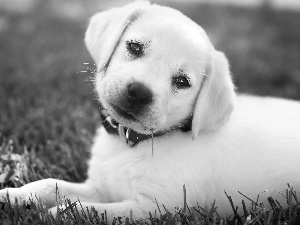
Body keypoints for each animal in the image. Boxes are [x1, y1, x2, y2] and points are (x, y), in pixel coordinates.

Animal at [0, 0, 300, 221]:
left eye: (182, 82)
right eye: (134, 47)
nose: (139, 92)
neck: (131, 143)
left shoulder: (156, 208)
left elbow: (96, 212)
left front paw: (58, 214)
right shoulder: (101, 187)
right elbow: (51, 184)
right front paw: (15, 196)